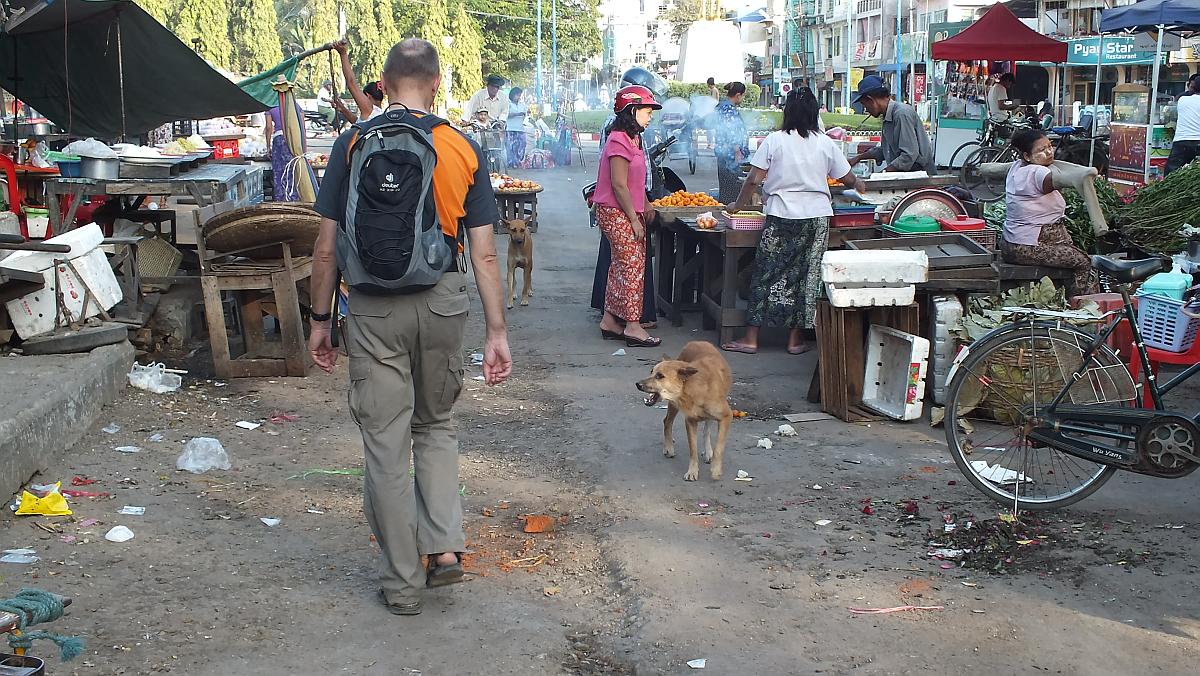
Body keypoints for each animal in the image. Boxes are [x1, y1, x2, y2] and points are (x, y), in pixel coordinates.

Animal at [633, 343, 734, 480]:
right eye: (651, 372)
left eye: (660, 376)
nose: (637, 384)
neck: (693, 388)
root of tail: (697, 342)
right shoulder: (690, 422)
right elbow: (693, 449)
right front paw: (692, 471)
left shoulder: (726, 417)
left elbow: (719, 447)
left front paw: (716, 469)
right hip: (673, 405)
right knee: (667, 422)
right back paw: (669, 448)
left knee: (706, 429)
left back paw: (708, 451)